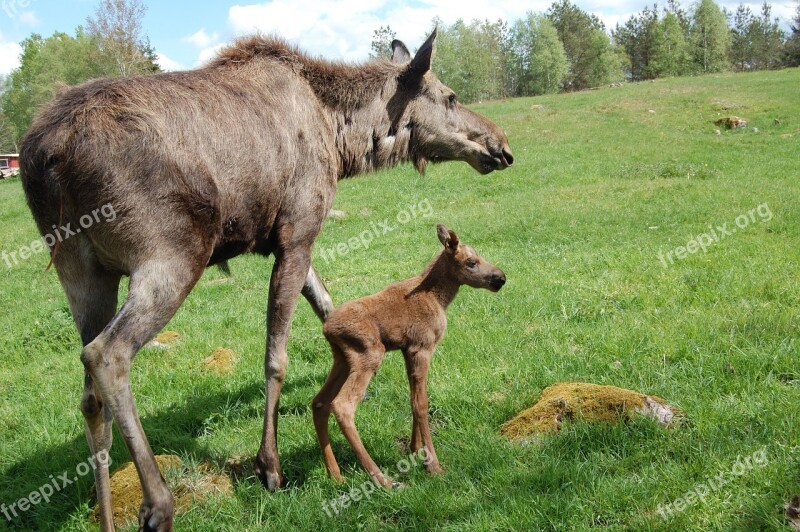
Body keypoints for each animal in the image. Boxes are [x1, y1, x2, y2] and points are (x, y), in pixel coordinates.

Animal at [312, 223, 506, 486]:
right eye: (471, 262)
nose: (500, 278)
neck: (439, 297)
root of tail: (327, 329)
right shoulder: (422, 346)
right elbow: (421, 403)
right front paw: (432, 464)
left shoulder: (407, 349)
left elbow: (413, 398)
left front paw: (415, 449)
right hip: (369, 354)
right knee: (342, 405)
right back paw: (381, 479)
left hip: (342, 358)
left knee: (319, 402)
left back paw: (335, 474)